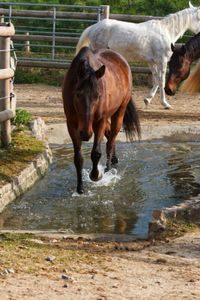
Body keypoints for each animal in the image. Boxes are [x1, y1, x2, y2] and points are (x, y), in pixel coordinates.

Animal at [62, 45, 141, 193]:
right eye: (77, 94)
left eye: (98, 95)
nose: (85, 133)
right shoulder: (72, 125)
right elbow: (78, 157)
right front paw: (80, 187)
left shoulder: (99, 122)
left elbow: (96, 153)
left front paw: (95, 176)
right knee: (110, 135)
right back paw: (114, 160)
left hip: (118, 113)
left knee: (111, 141)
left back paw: (108, 168)